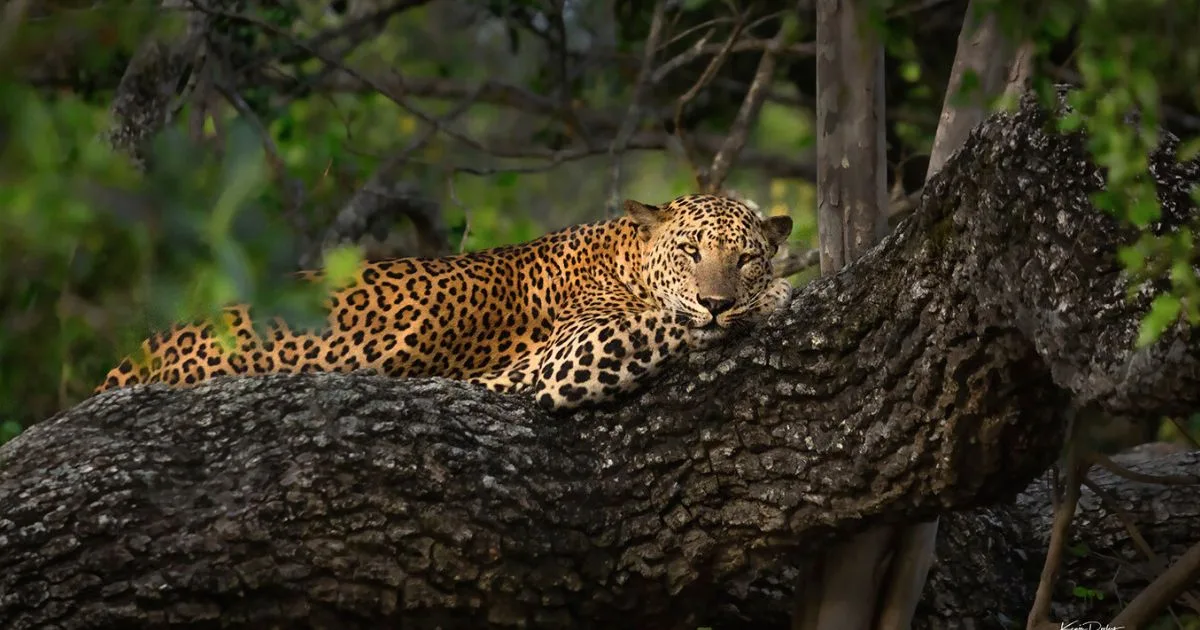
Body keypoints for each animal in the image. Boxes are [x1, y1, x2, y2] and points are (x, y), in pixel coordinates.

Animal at [95, 193, 794, 410]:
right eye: (690, 252)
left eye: (745, 258)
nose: (716, 302)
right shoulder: (564, 358)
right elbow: (662, 321)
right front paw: (776, 296)